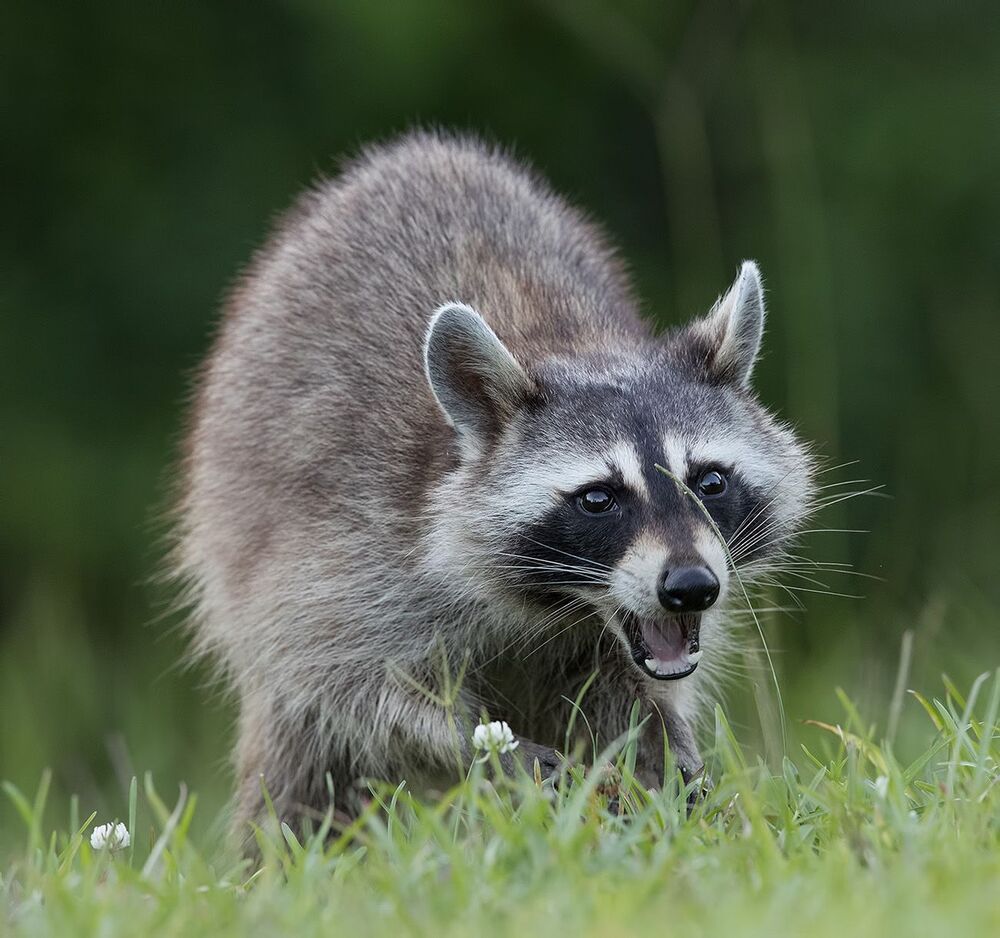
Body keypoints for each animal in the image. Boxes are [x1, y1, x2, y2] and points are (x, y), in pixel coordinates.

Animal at [174, 130, 814, 832]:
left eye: (709, 481)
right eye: (598, 498)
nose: (691, 586)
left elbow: (630, 693)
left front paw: (663, 749)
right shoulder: (349, 545)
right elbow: (354, 685)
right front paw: (476, 744)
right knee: (303, 760)